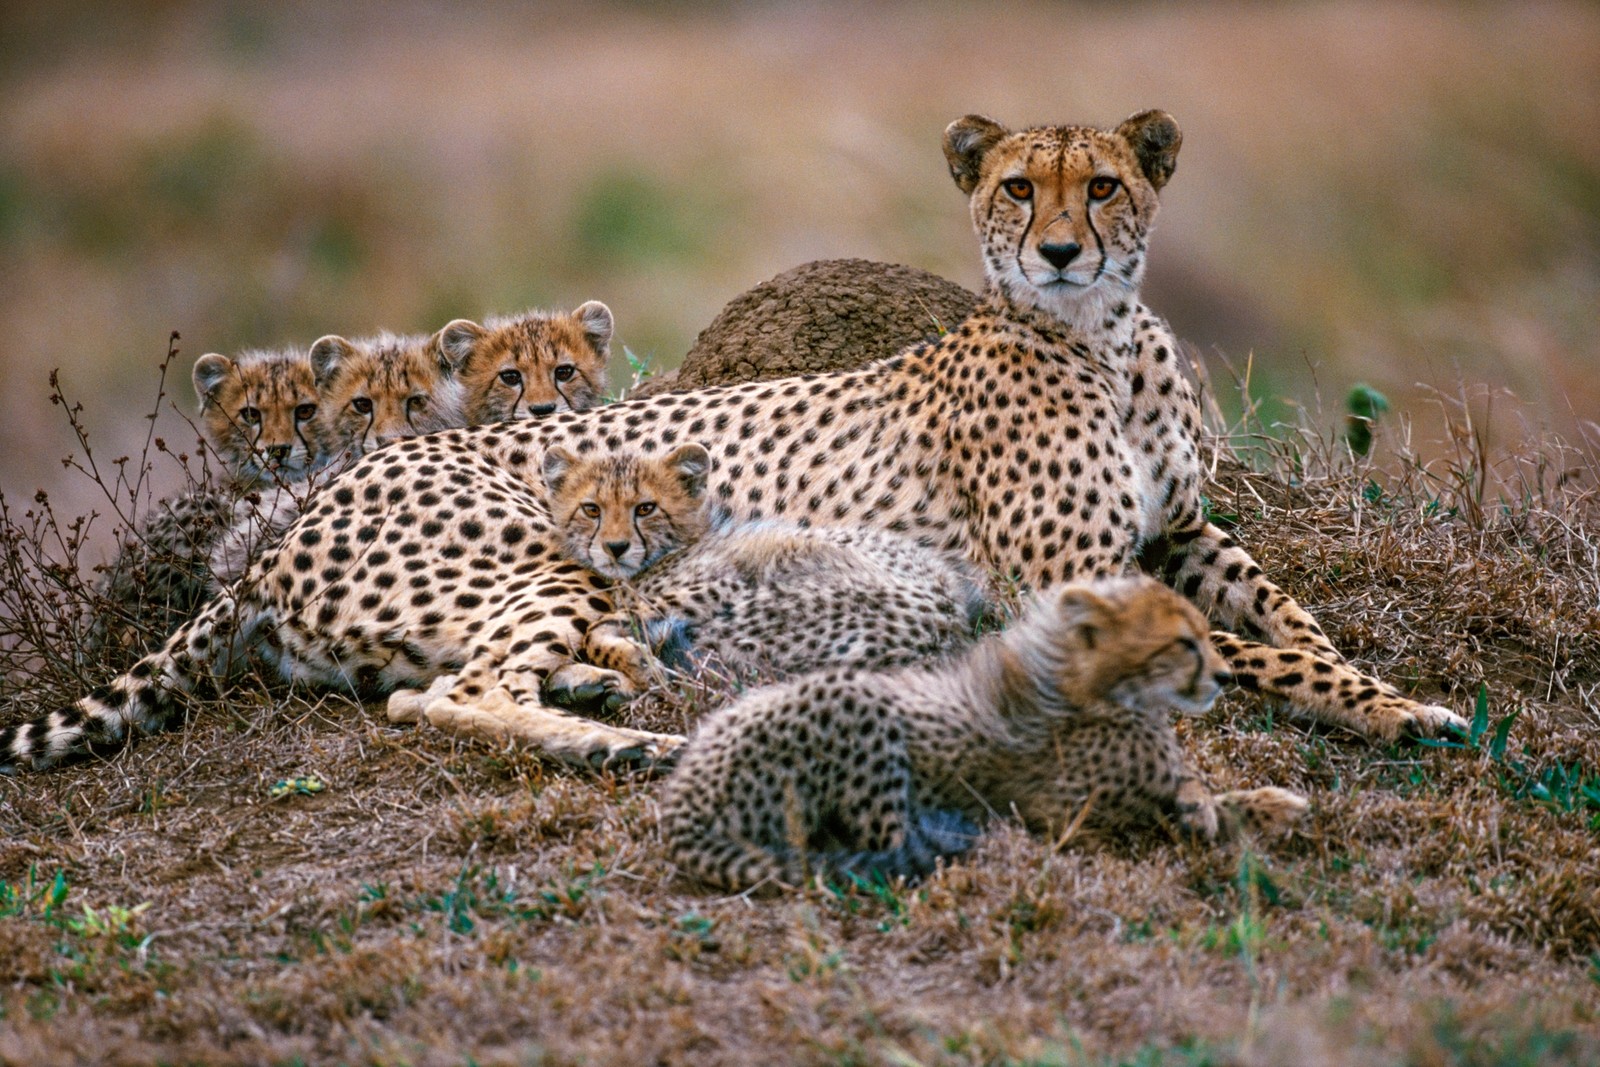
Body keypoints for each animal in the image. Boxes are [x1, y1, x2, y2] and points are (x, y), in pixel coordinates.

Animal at [6, 110, 1465, 777]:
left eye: (1102, 182)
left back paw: (611, 686)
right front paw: (1397, 709)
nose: (1058, 247)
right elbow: (1236, 643)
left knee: (449, 679)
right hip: (540, 553)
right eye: (1016, 187)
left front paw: (1384, 684)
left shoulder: (1180, 527)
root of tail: (284, 520)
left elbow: (1286, 614)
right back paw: (623, 740)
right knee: (445, 694)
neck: (1099, 334)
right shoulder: (1066, 580)